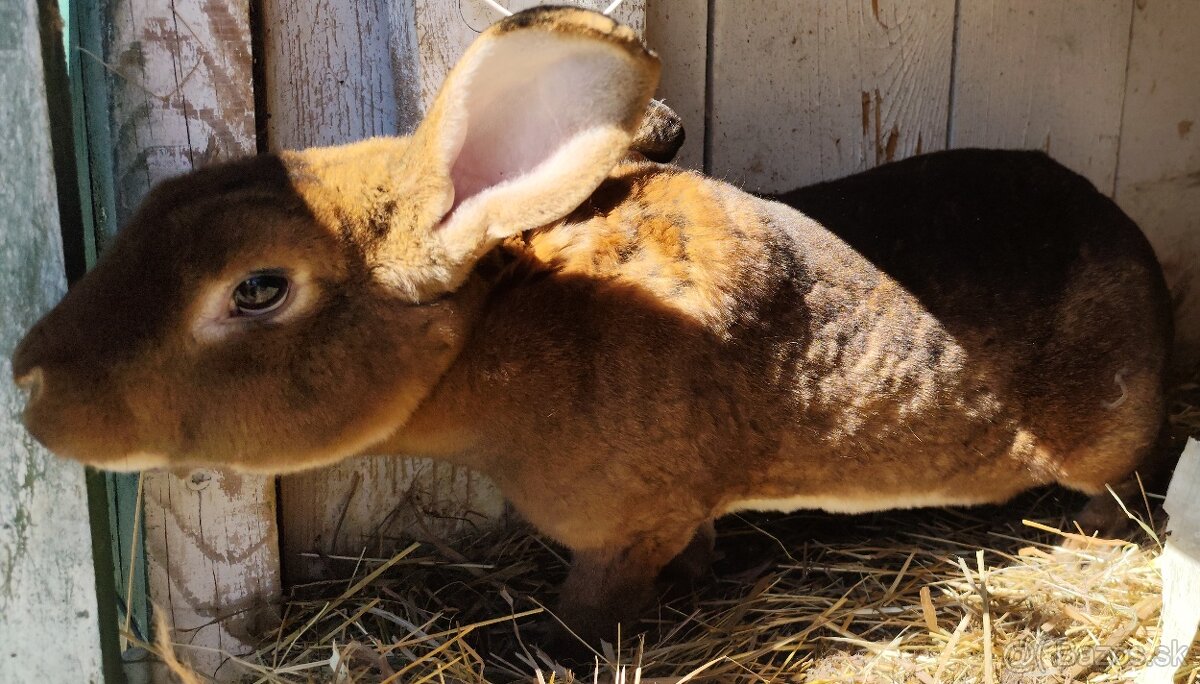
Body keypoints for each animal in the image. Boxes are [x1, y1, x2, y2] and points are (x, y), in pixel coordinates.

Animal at [9, 5, 1171, 643]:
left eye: (256, 289)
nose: (28, 381)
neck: (500, 334)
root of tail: (1135, 248)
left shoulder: (622, 531)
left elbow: (594, 607)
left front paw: (550, 649)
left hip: (1107, 439)